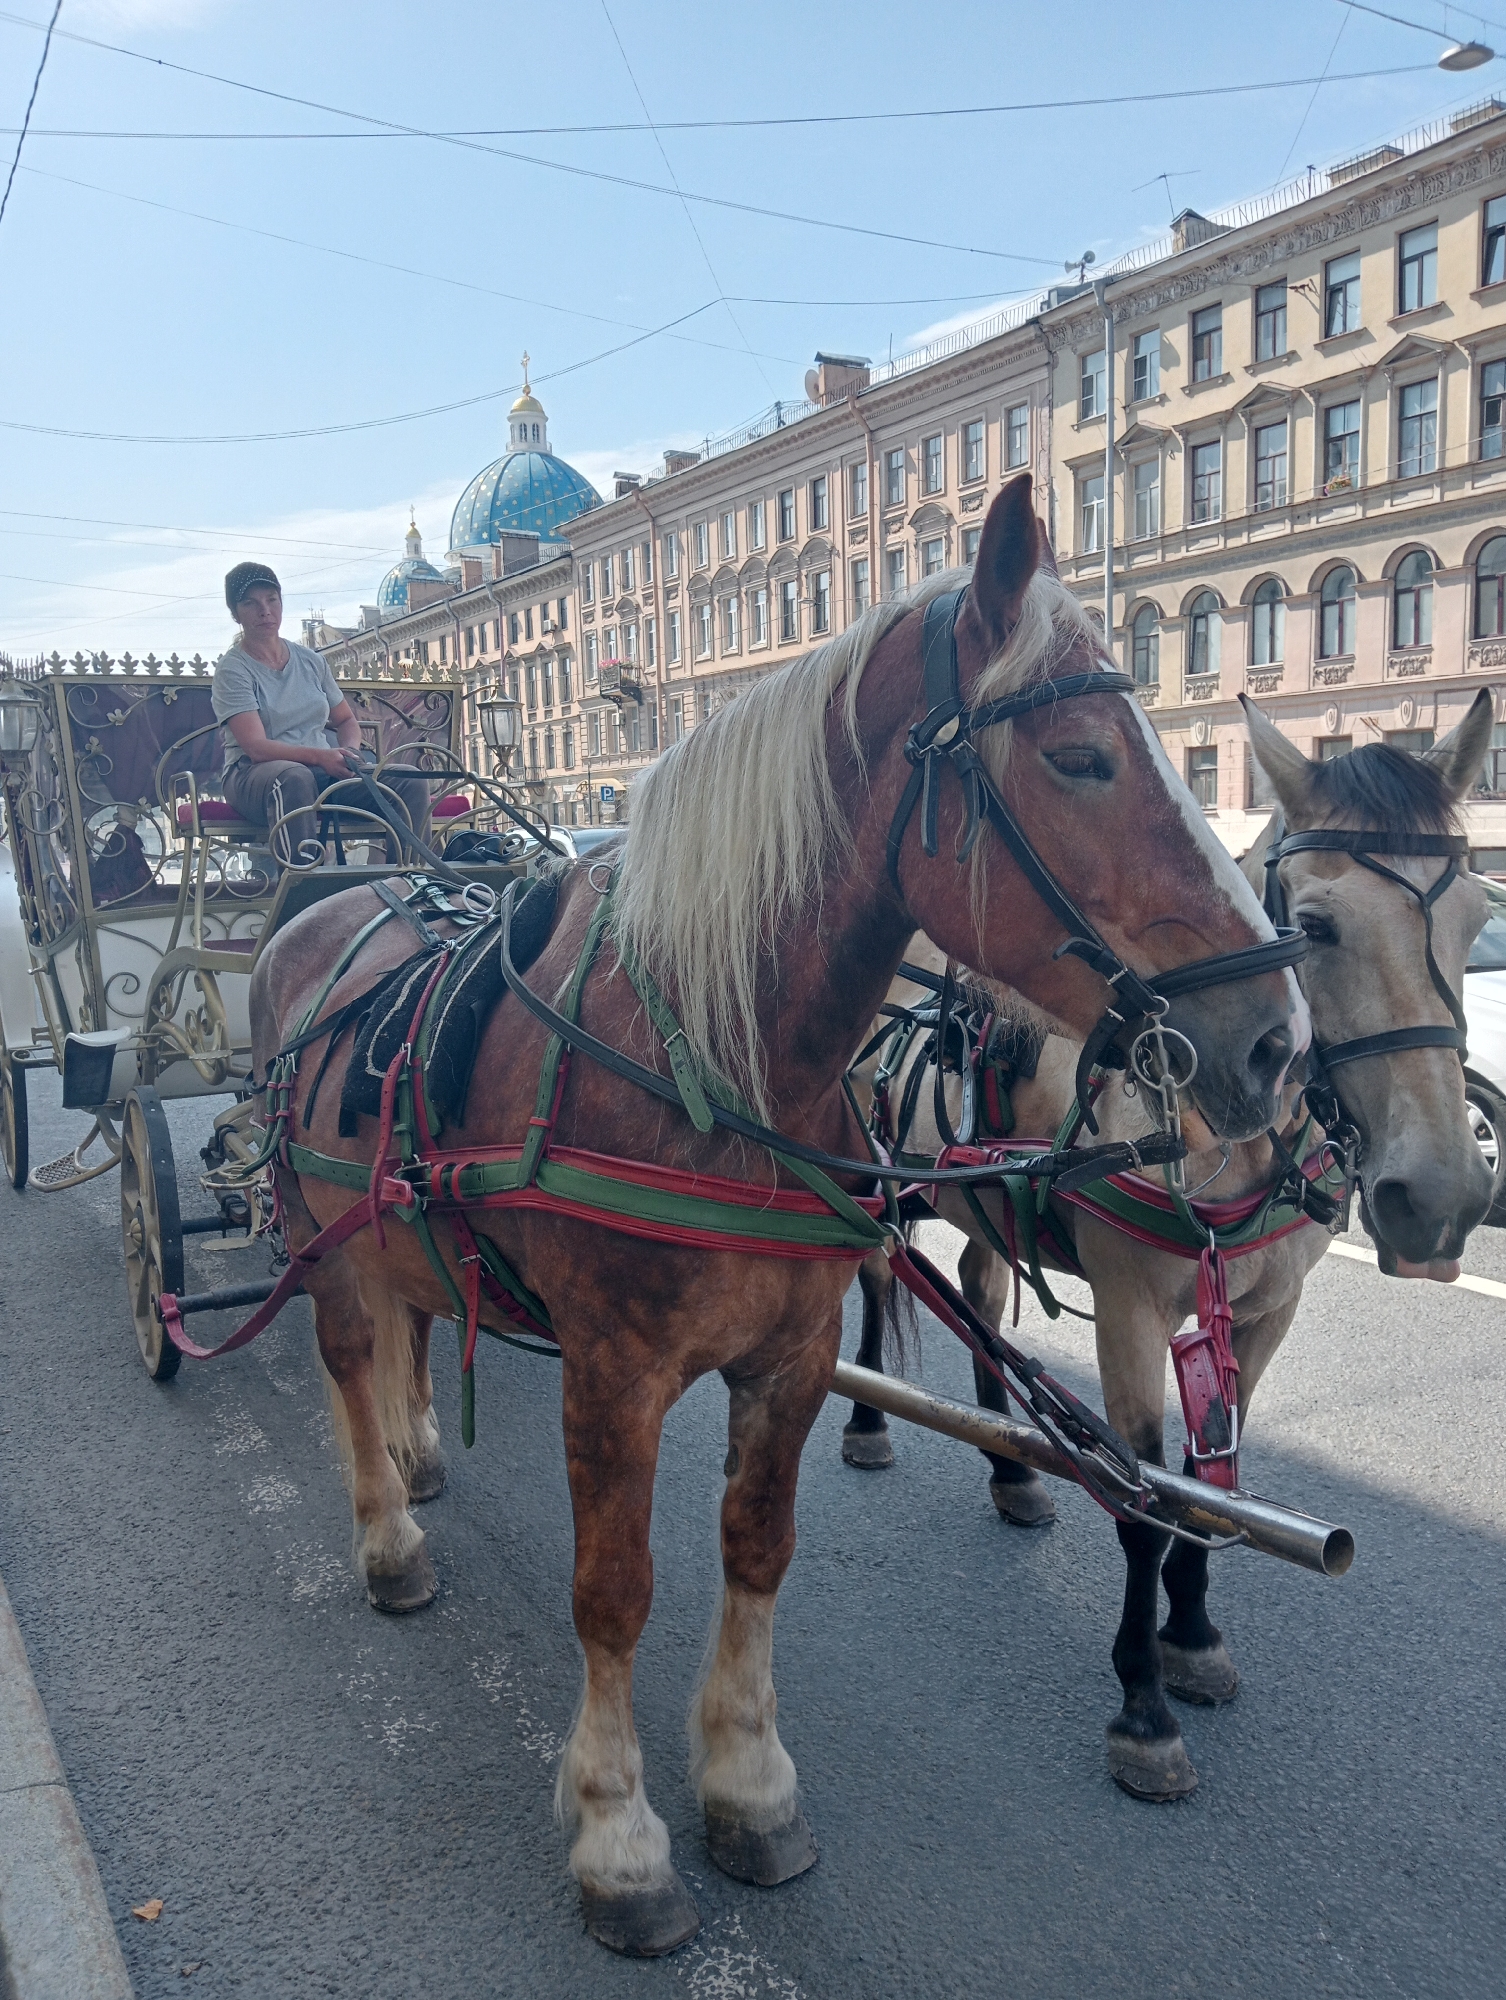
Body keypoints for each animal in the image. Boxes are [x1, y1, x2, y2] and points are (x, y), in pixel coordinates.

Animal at [247, 476, 1308, 1956]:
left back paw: (415, 1455)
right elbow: (613, 1587)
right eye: (1083, 756)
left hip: (391, 1233)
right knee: (349, 1358)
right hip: (313, 1230)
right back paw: (386, 1531)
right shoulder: (611, 1377)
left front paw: (746, 1783)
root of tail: (342, 889)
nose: (1276, 1039)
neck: (704, 1057)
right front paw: (620, 1833)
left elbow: (758, 1547)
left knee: (404, 1332)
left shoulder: (794, 1360)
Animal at [845, 692, 1495, 1801]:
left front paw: (1192, 1634)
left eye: (1478, 919)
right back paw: (866, 1418)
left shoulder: (1266, 1315)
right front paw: (1143, 1702)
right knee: (864, 1281)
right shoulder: (1132, 1314)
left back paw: (1013, 1466)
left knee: (977, 1292)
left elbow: (1211, 1485)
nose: (1442, 1199)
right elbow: (1150, 1501)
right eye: (1314, 927)